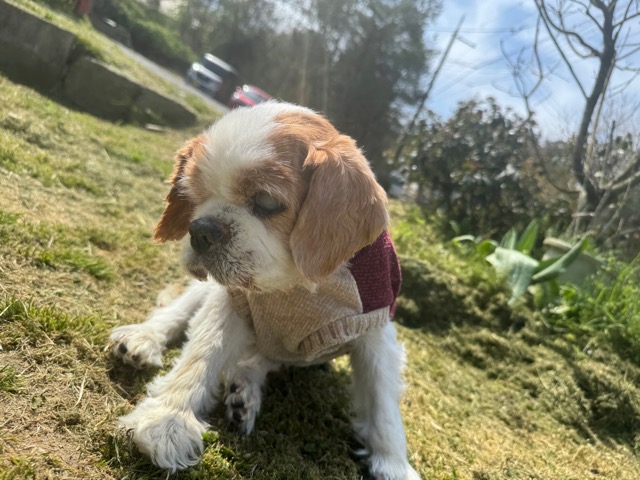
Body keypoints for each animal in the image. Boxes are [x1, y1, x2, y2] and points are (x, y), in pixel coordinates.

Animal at [110, 102, 420, 480]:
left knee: (263, 358)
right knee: (179, 311)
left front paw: (394, 465)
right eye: (193, 195)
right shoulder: (229, 301)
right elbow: (202, 353)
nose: (201, 229)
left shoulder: (373, 328)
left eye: (267, 202)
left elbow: (382, 403)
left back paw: (245, 389)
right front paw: (166, 419)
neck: (291, 284)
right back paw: (145, 338)